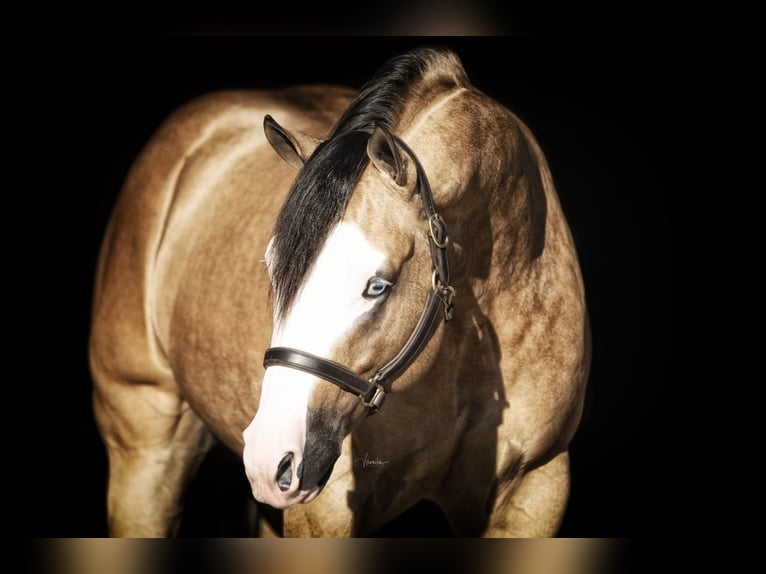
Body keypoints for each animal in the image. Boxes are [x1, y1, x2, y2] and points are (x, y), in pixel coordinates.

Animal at [89, 46, 591, 537]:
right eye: (273, 271)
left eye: (377, 285)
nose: (270, 460)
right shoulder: (326, 509)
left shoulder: (535, 490)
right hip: (145, 450)